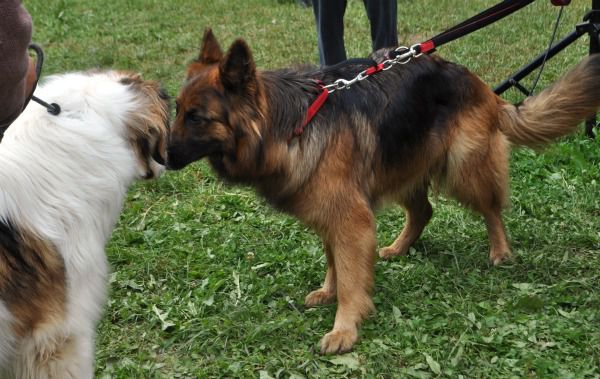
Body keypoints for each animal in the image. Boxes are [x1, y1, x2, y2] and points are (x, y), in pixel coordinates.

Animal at [166, 28, 600, 354]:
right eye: (177, 110)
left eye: (197, 117)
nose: (163, 158)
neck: (287, 123)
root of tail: (479, 85)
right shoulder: (331, 213)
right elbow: (335, 262)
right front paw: (330, 291)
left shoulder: (350, 217)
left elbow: (351, 276)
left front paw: (345, 327)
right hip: (401, 166)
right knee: (424, 211)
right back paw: (400, 246)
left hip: (463, 168)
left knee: (491, 209)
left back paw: (500, 250)